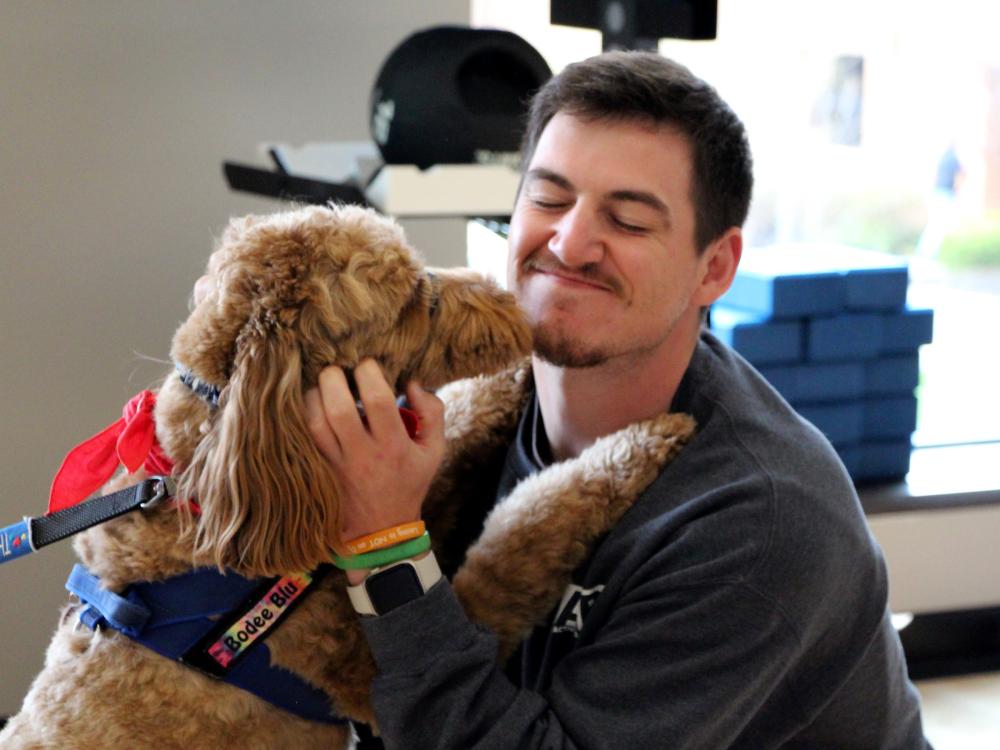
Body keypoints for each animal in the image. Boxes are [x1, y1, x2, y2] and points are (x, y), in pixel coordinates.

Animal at [3, 206, 696, 750]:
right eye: (415, 299)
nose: (516, 308)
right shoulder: (368, 671)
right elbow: (520, 540)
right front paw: (635, 444)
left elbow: (458, 426)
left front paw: (511, 382)